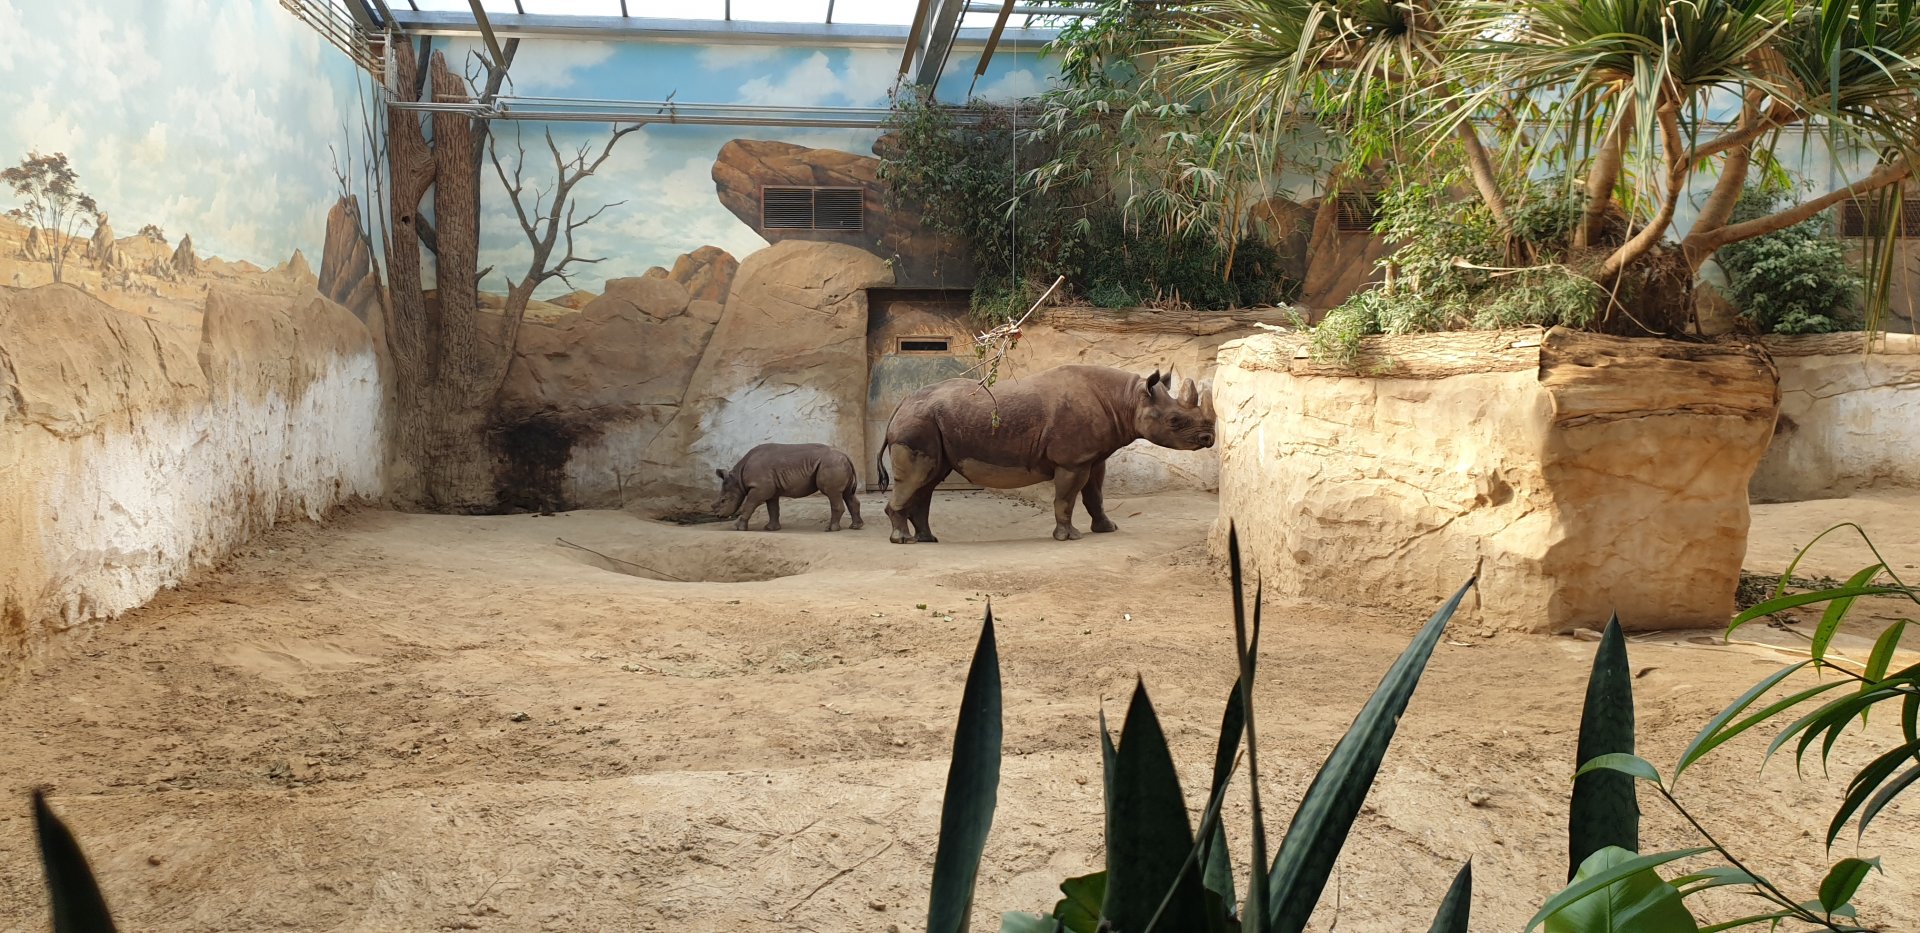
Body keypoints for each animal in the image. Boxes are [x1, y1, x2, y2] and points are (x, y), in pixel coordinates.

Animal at [712, 443, 865, 532]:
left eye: (723, 500)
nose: (718, 516)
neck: (737, 479)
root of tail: (846, 456)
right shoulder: (770, 490)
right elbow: (773, 508)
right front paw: (770, 529)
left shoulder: (759, 488)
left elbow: (748, 505)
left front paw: (738, 528)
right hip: (837, 464)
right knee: (847, 494)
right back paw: (856, 527)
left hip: (831, 464)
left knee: (832, 493)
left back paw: (830, 529)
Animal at [877, 364, 1215, 543]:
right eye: (1175, 421)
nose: (1209, 438)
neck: (1127, 400)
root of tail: (902, 403)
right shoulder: (1072, 460)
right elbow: (1066, 498)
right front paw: (1069, 537)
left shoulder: (1093, 457)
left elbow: (1095, 496)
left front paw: (1107, 529)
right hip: (918, 422)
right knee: (919, 476)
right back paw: (902, 540)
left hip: (929, 421)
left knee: (930, 479)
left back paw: (927, 539)